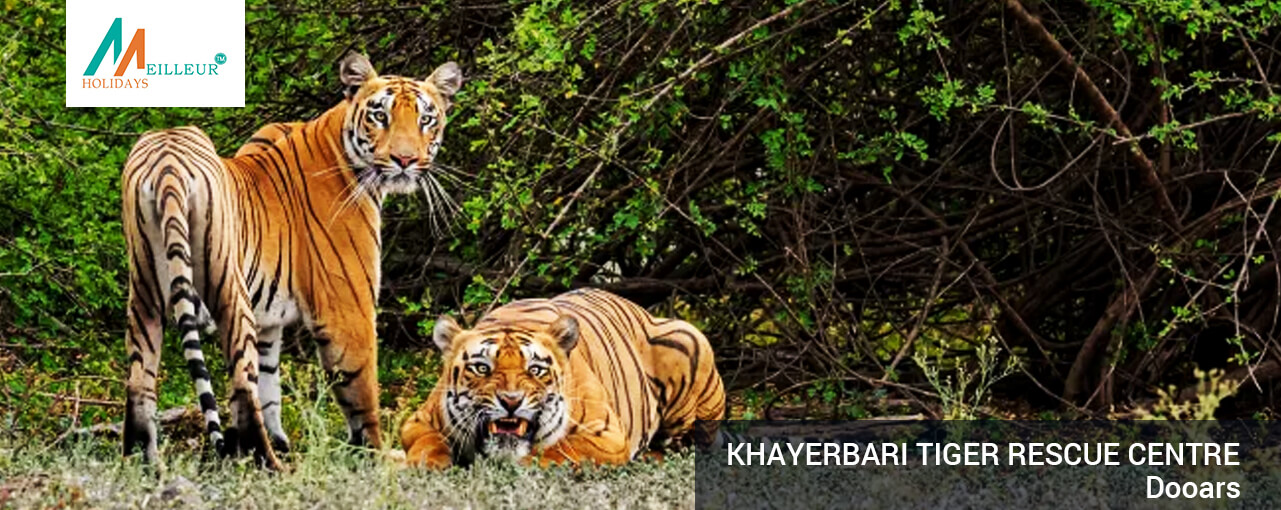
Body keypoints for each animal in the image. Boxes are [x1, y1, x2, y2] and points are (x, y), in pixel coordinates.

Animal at [120, 52, 463, 469]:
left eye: (426, 118)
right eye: (380, 115)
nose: (405, 159)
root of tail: (167, 160)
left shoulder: (269, 321)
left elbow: (271, 385)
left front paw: (284, 440)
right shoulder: (348, 309)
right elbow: (361, 390)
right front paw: (377, 456)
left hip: (144, 292)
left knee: (140, 382)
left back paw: (144, 463)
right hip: (228, 290)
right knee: (240, 389)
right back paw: (269, 465)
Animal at [400, 288, 726, 468]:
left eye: (535, 370)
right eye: (482, 368)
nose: (510, 401)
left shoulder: (606, 434)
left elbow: (561, 449)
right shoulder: (417, 421)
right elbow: (427, 443)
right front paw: (426, 465)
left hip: (689, 338)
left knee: (687, 446)